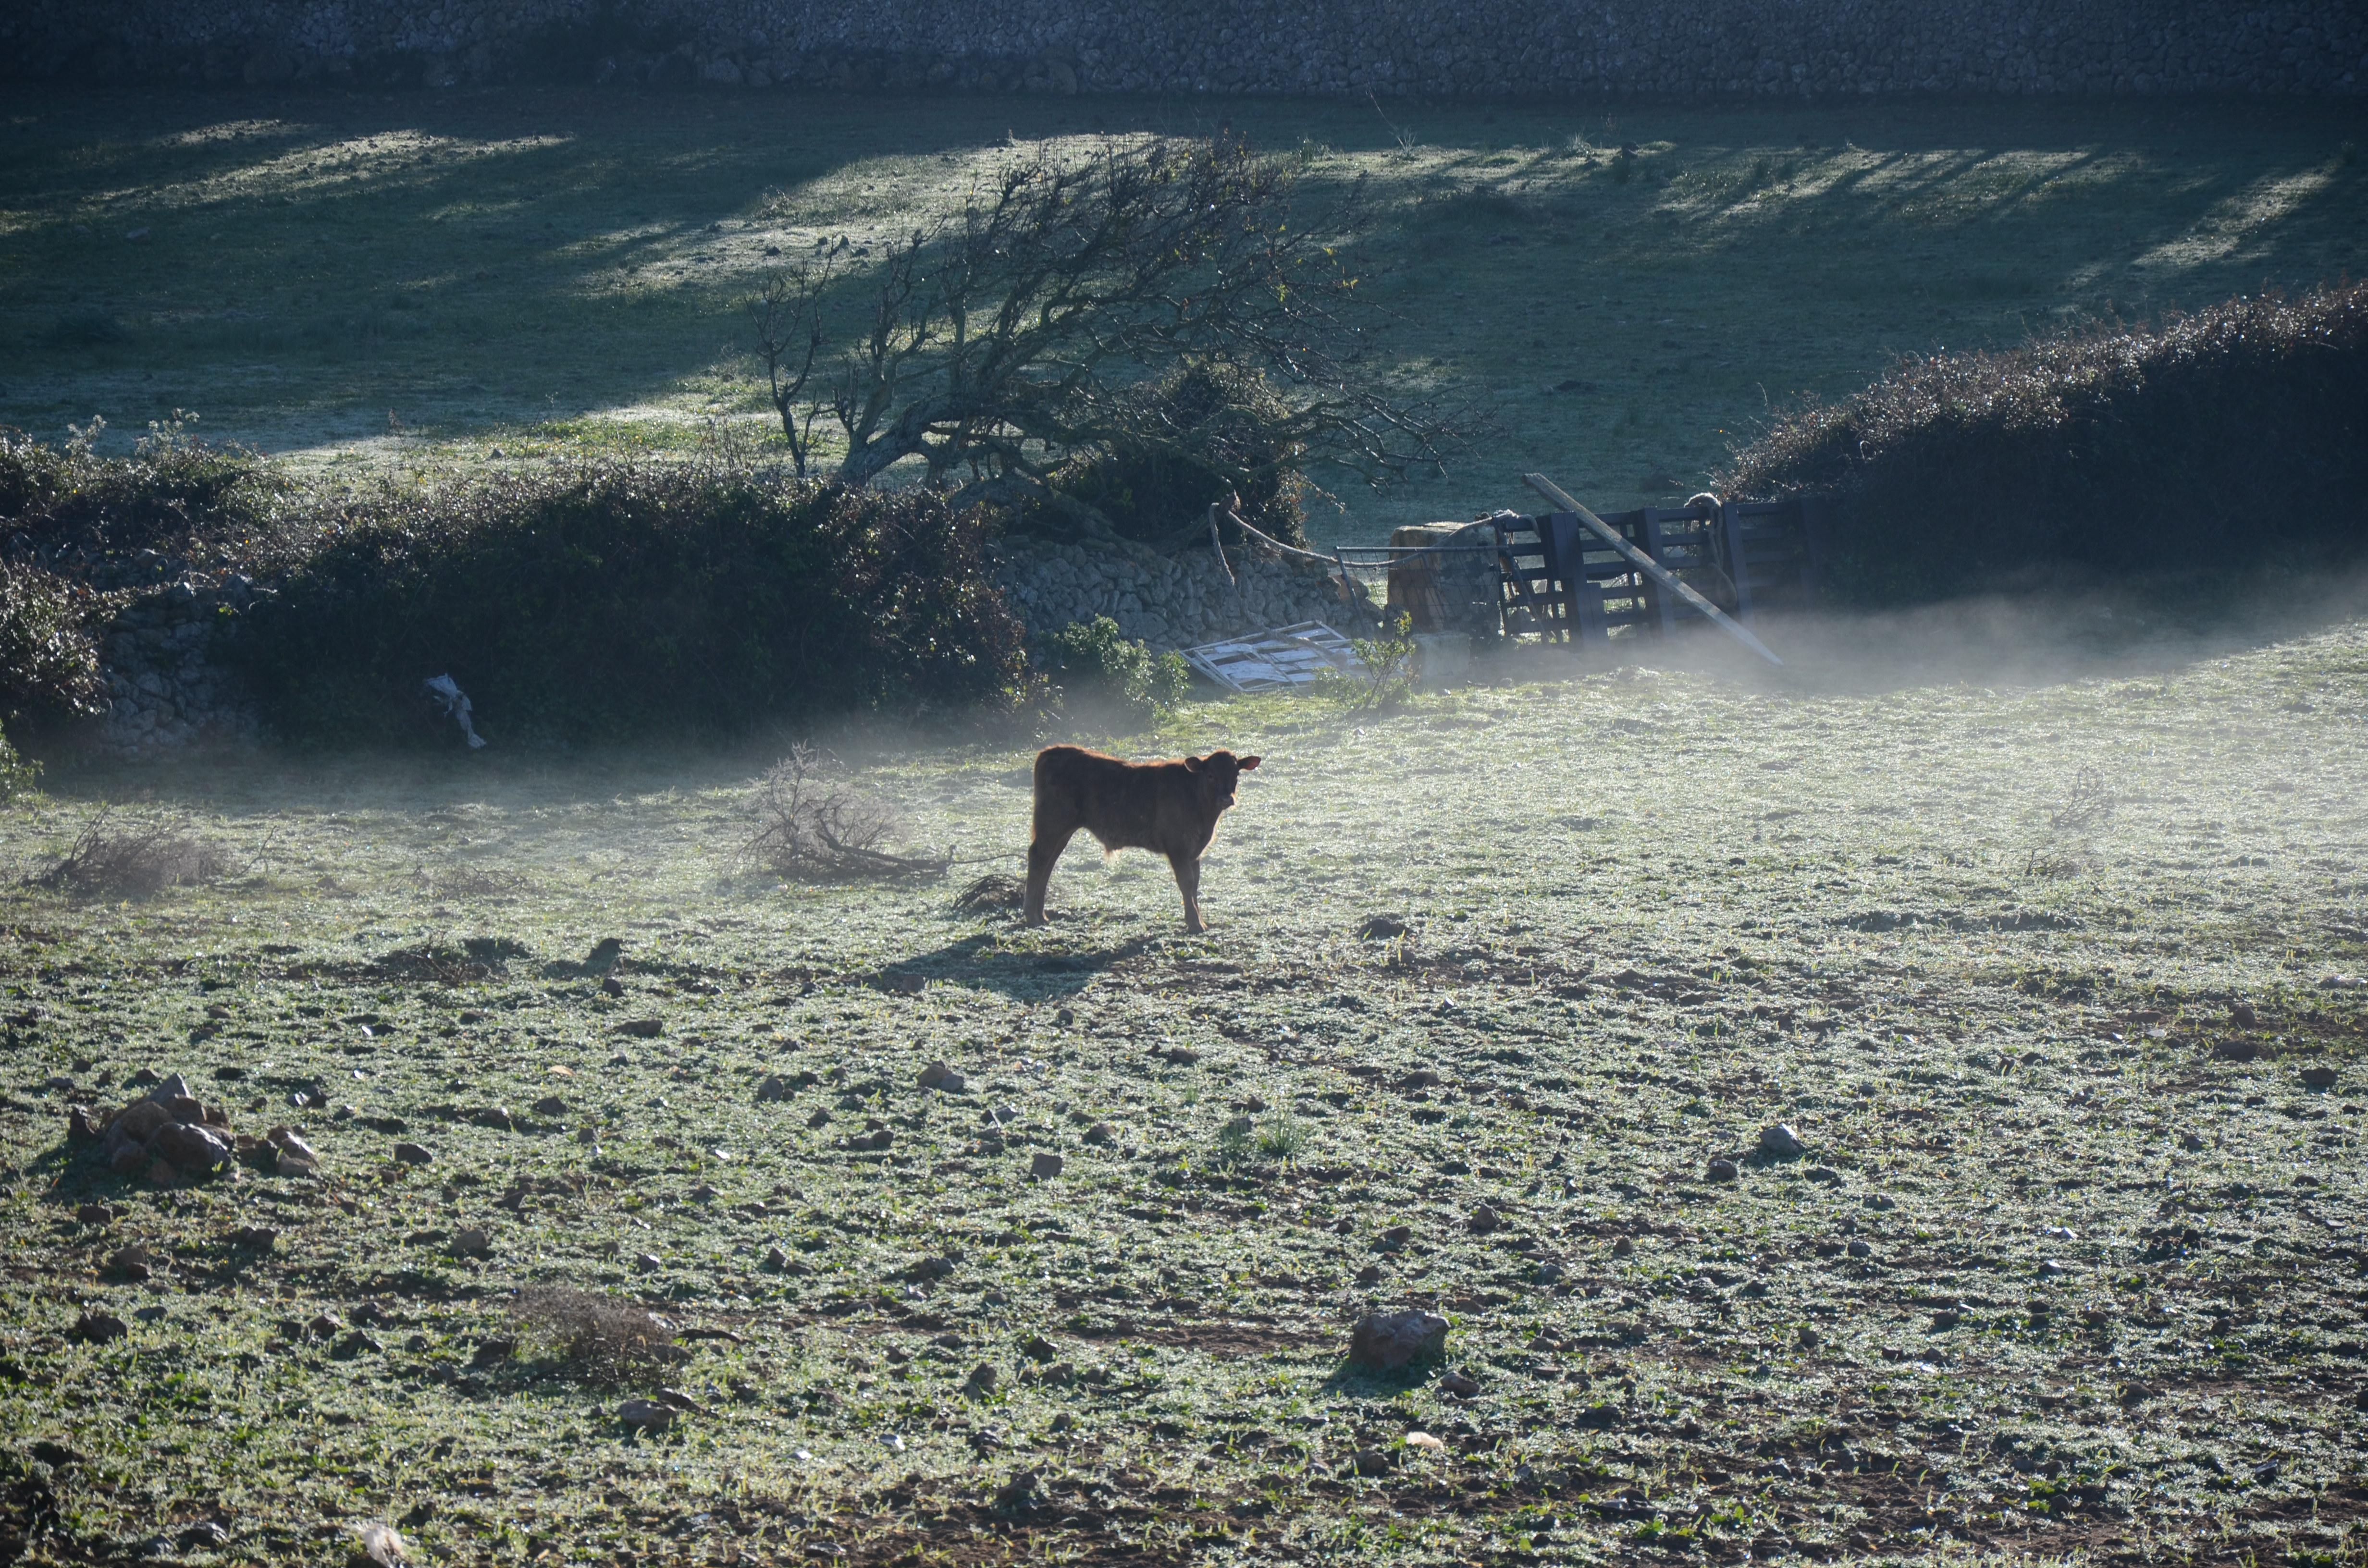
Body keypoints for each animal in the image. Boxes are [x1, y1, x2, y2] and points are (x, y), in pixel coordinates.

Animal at [1027, 748, 1269, 933]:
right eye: (1210, 775)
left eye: (1236, 775)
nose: (1226, 799)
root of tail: (1050, 752)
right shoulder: (1178, 848)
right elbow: (1187, 882)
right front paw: (1194, 923)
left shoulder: (1195, 852)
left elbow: (1195, 885)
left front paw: (1199, 920)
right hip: (1052, 825)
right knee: (1038, 857)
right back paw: (1031, 916)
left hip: (1061, 832)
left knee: (1048, 863)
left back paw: (1041, 914)